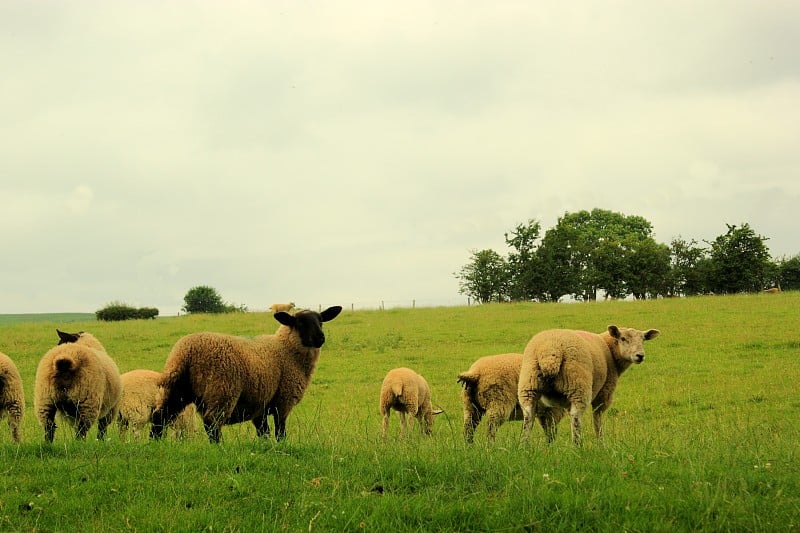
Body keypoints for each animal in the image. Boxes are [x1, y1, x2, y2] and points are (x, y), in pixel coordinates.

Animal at [152, 306, 342, 442]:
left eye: (321, 321)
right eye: (299, 323)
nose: (320, 338)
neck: (286, 349)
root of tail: (186, 352)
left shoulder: (260, 405)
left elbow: (264, 432)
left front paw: (266, 447)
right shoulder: (284, 400)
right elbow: (280, 431)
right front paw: (281, 446)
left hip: (177, 387)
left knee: (160, 416)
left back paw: (155, 444)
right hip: (222, 389)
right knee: (212, 423)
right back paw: (219, 448)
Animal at [516, 324, 660, 444]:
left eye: (643, 340)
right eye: (623, 339)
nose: (640, 356)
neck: (610, 350)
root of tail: (550, 352)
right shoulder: (604, 392)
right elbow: (597, 418)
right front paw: (601, 443)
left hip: (528, 385)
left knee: (528, 416)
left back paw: (524, 446)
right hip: (578, 385)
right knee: (576, 418)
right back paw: (578, 447)